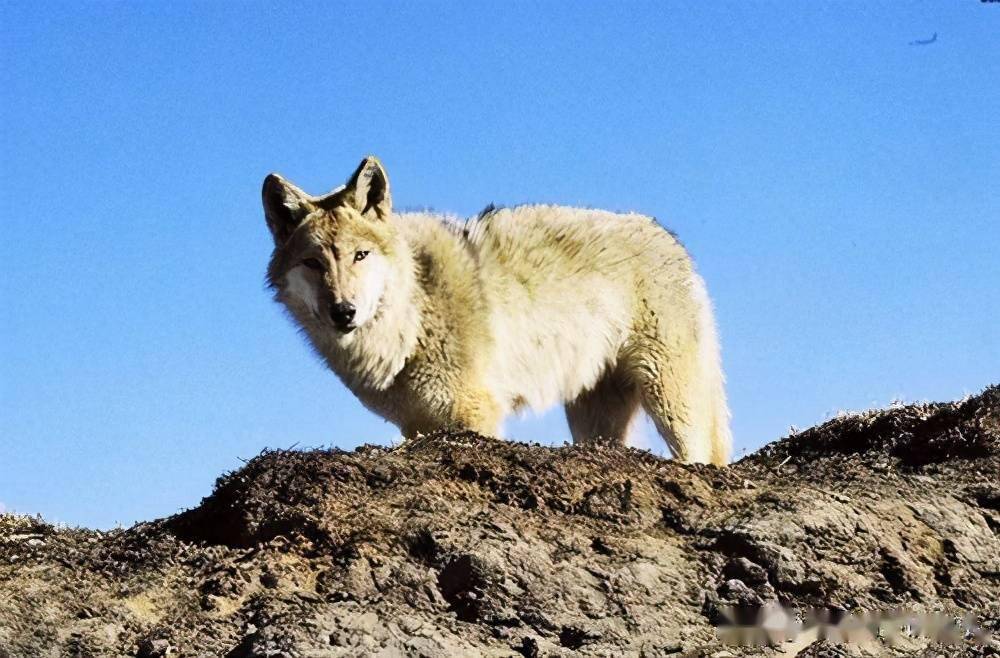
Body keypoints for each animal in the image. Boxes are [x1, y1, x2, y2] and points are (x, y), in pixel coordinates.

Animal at [262, 154, 732, 464]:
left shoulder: (475, 415)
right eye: (314, 263)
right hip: (592, 419)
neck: (414, 314)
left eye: (360, 255)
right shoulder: (416, 426)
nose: (343, 311)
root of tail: (671, 241)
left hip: (671, 403)